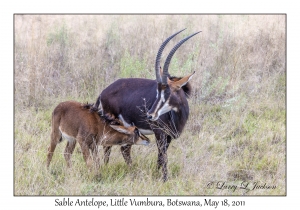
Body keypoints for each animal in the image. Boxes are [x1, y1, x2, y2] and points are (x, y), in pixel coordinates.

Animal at [92, 29, 200, 180]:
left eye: (167, 92)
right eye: (157, 92)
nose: (150, 115)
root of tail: (103, 93)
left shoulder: (168, 136)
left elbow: (160, 157)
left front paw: (157, 174)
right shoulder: (159, 133)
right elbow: (163, 156)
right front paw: (164, 179)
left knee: (124, 148)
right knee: (109, 146)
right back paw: (108, 168)